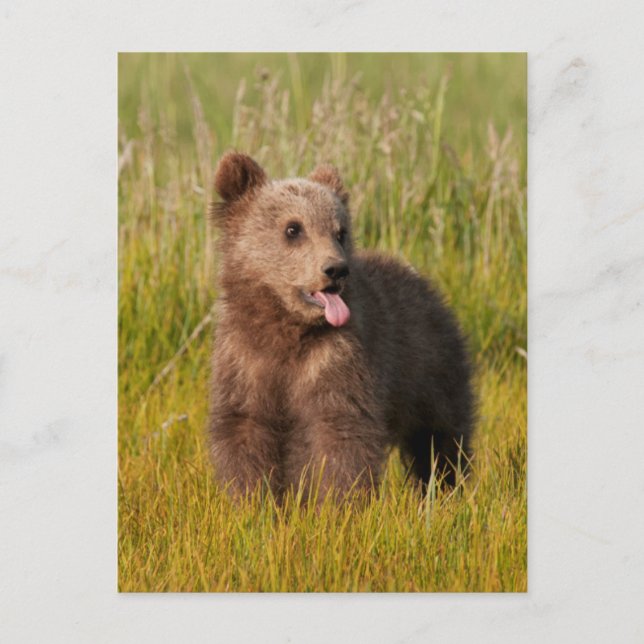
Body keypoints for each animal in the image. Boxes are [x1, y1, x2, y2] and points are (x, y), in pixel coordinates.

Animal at [208, 152, 474, 502]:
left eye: (340, 231)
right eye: (293, 228)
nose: (336, 269)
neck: (287, 328)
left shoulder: (336, 359)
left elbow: (339, 434)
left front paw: (338, 504)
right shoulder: (245, 360)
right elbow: (244, 429)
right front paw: (250, 501)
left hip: (430, 369)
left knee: (439, 438)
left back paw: (446, 488)